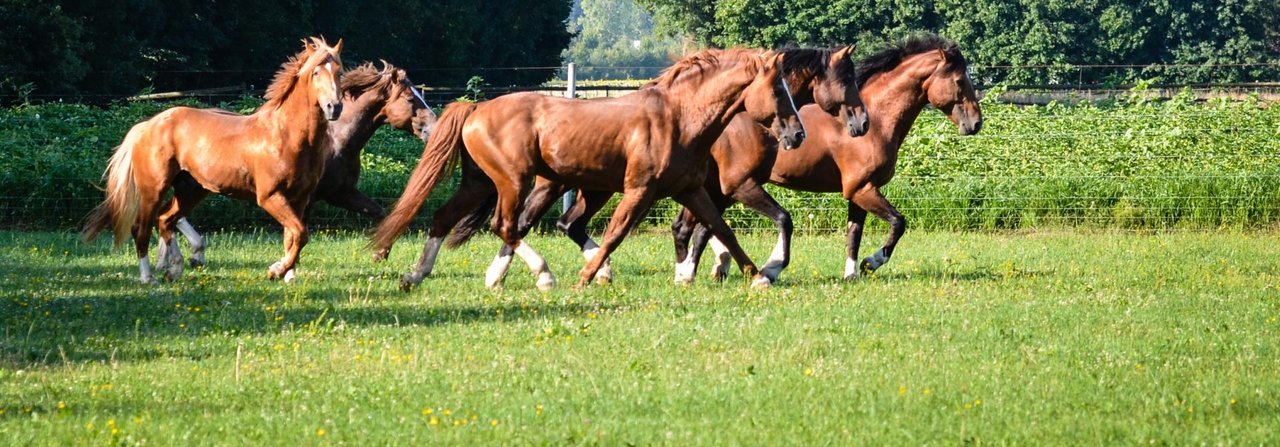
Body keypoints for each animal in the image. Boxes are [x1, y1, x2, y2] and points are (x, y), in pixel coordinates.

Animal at [83, 37, 348, 281]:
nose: (334, 107)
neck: (285, 135)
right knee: (142, 228)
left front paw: (288, 275)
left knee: (166, 219)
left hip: (190, 190)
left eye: (339, 71)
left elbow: (293, 237)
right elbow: (301, 233)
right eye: (315, 72)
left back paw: (176, 267)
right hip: (153, 190)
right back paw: (150, 277)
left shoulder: (299, 198)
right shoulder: (270, 197)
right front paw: (276, 270)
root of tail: (147, 126)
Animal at [167, 60, 437, 266]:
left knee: (171, 216)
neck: (335, 139)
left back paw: (187, 257)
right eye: (410, 99)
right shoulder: (311, 196)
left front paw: (380, 254)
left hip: (193, 184)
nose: (433, 129)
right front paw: (288, 265)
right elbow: (297, 230)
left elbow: (379, 212)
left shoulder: (341, 192)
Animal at [675, 34, 983, 280]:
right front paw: (872, 262)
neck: (879, 122)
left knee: (698, 227)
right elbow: (898, 222)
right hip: (727, 186)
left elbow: (854, 234)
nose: (976, 123)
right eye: (959, 80)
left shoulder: (860, 191)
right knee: (700, 227)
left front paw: (852, 274)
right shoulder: (863, 190)